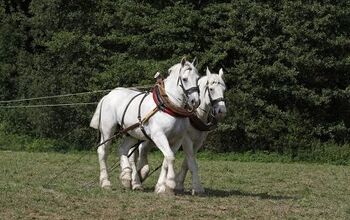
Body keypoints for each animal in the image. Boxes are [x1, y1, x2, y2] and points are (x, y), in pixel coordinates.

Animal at [90, 57, 200, 194]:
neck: (169, 106)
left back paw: (126, 176)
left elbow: (167, 159)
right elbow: (170, 157)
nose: (195, 101)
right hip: (108, 130)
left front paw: (161, 187)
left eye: (197, 78)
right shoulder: (159, 136)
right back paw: (106, 182)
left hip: (132, 133)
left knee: (122, 149)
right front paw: (169, 184)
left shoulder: (177, 139)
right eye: (184, 79)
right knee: (103, 151)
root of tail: (108, 95)